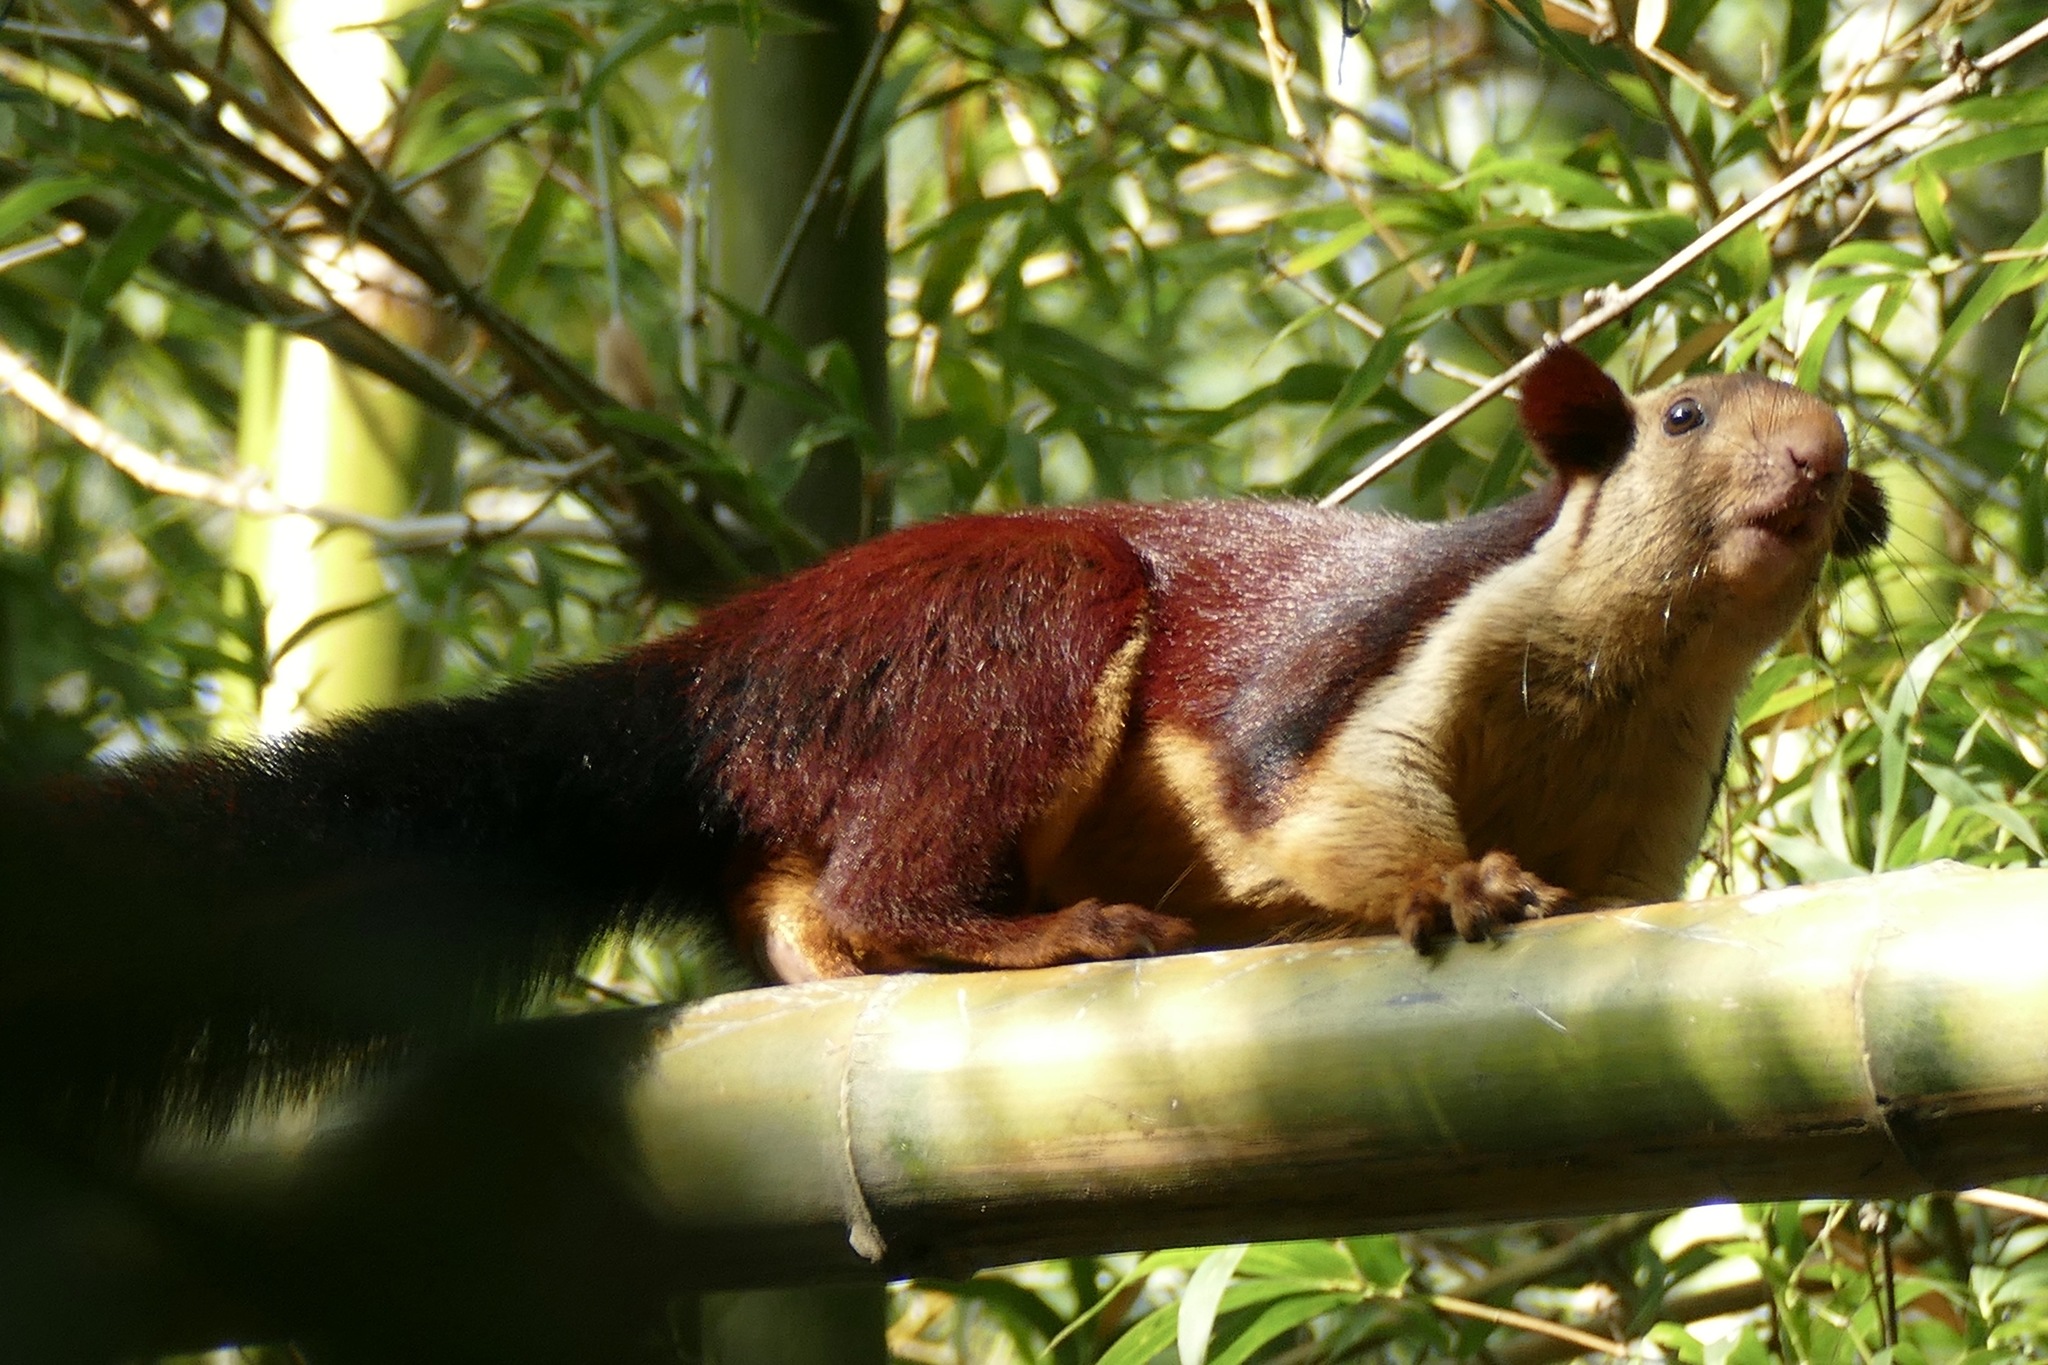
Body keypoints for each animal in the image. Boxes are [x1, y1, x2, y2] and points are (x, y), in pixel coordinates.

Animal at [0, 345, 1888, 1146]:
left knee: (793, 902)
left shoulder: (1647, 824)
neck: (1626, 677)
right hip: (1010, 630)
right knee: (886, 874)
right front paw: (1453, 887)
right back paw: (1058, 932)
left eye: (1842, 442)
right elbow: (1327, 816)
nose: (1817, 470)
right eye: (1683, 415)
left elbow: (1614, 899)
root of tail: (703, 679)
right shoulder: (1368, 674)